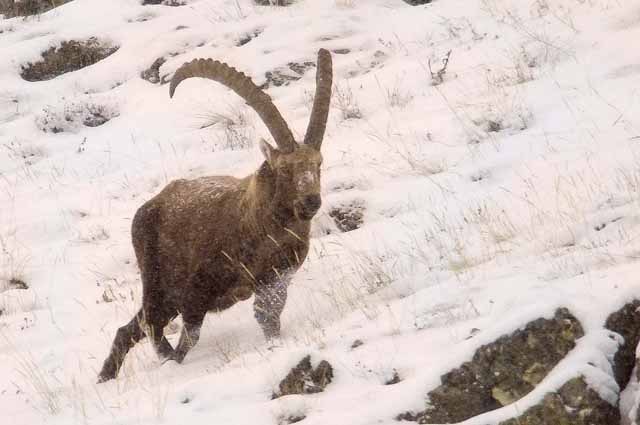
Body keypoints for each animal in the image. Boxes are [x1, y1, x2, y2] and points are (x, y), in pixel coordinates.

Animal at [98, 49, 332, 382]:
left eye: (318, 164)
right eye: (285, 169)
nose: (311, 201)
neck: (255, 226)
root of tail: (148, 206)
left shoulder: (275, 279)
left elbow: (268, 318)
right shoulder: (196, 292)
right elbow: (190, 338)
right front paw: (174, 362)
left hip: (168, 296)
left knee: (128, 329)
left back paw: (105, 376)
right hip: (157, 282)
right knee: (150, 323)